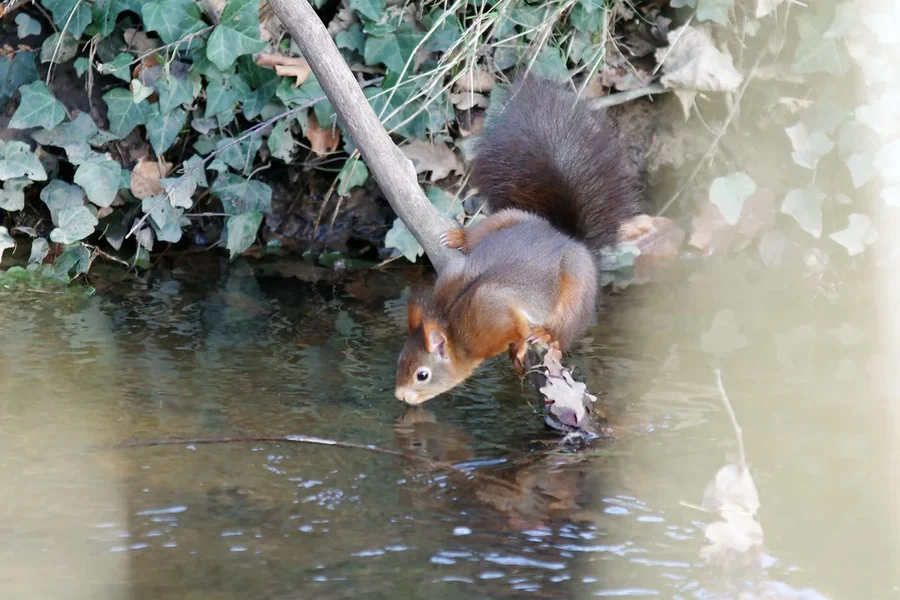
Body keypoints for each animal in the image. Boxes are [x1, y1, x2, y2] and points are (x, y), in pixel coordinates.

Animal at [394, 75, 642, 405]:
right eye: (400, 360)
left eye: (422, 374)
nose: (399, 396)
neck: (453, 323)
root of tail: (565, 236)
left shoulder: (495, 309)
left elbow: (520, 326)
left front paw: (522, 346)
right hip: (509, 217)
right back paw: (461, 236)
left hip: (577, 285)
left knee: (567, 328)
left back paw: (550, 335)